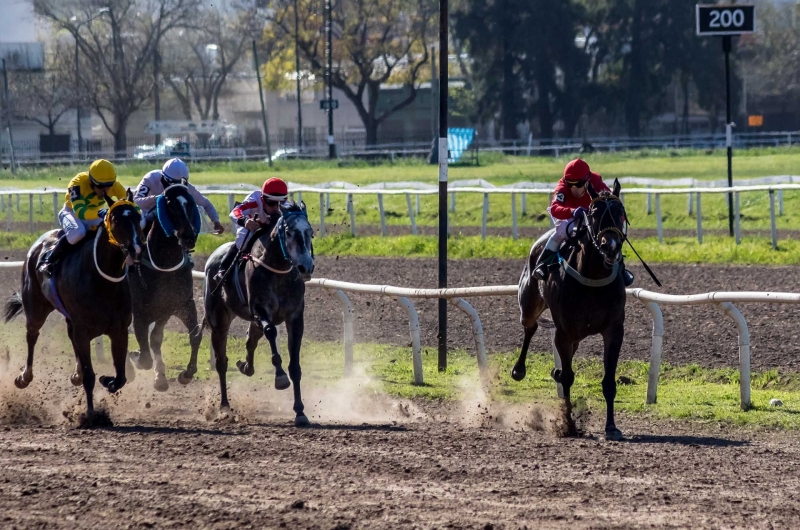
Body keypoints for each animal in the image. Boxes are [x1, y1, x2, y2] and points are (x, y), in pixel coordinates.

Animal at [3, 192, 145, 418]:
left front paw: (107, 380)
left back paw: (75, 374)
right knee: (32, 335)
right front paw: (90, 415)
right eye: (116, 220)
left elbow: (121, 377)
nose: (137, 249)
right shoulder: (84, 331)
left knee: (69, 336)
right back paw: (24, 377)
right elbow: (90, 376)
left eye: (137, 217)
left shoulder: (119, 330)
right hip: (35, 308)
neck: (102, 281)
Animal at [202, 201, 314, 424]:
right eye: (289, 232)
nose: (306, 267)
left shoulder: (295, 317)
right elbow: (271, 331)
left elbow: (295, 366)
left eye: (310, 232)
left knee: (250, 341)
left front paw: (300, 411)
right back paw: (224, 407)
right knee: (221, 362)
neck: (277, 269)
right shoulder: (259, 310)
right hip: (219, 320)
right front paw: (280, 377)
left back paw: (246, 366)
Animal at [516, 179, 628, 440]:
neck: (593, 277)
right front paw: (567, 424)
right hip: (530, 304)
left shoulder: (614, 329)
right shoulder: (563, 332)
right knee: (530, 327)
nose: (611, 247)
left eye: (621, 212)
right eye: (594, 213)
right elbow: (567, 377)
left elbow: (609, 381)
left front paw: (611, 427)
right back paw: (518, 370)